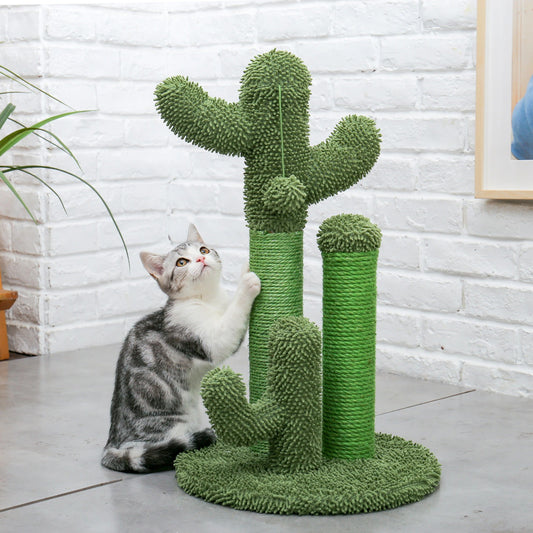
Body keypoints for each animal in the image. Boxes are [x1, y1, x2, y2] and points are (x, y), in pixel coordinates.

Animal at [101, 222, 260, 472]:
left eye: (203, 250)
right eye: (181, 263)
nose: (201, 259)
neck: (208, 299)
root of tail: (112, 444)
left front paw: (245, 268)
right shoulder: (209, 340)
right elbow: (232, 321)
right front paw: (246, 283)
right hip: (171, 424)